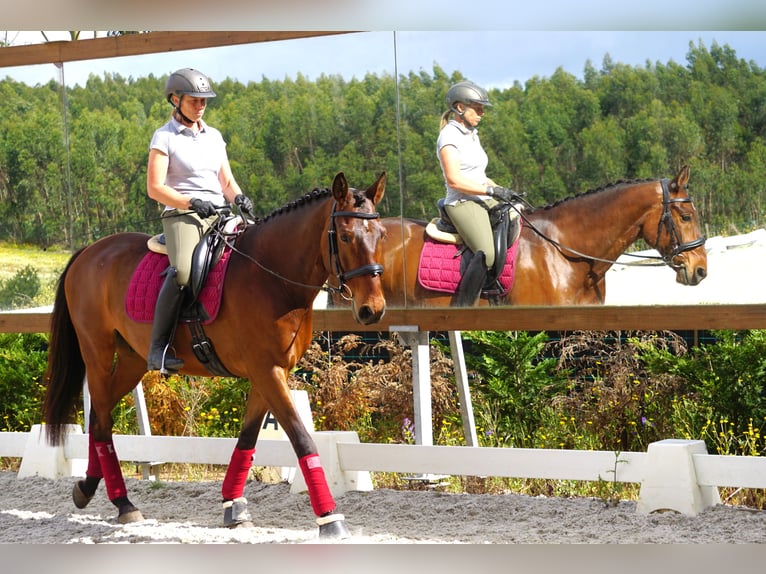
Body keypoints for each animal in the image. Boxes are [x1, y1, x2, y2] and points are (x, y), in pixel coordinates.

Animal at [42, 171, 387, 539]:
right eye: (347, 237)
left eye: (380, 234)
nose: (372, 310)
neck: (272, 278)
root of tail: (90, 251)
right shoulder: (267, 371)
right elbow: (302, 440)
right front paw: (330, 519)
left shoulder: (269, 373)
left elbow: (248, 439)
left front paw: (233, 505)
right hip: (97, 350)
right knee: (102, 418)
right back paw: (123, 503)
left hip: (132, 360)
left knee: (99, 414)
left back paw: (89, 489)